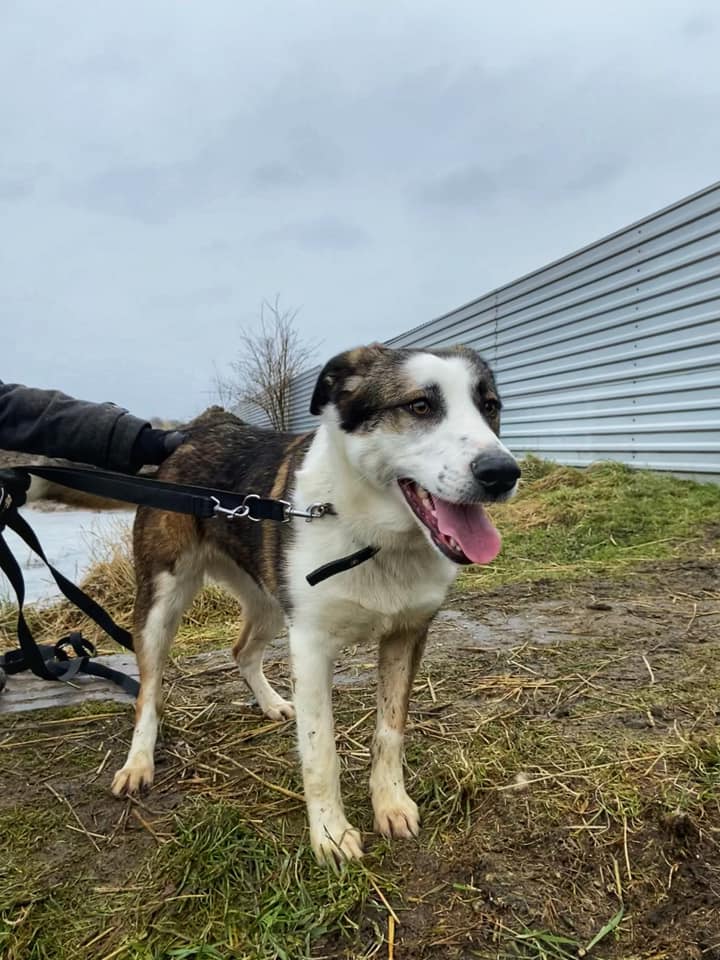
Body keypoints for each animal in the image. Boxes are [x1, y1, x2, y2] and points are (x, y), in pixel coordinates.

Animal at [111, 344, 516, 864]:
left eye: (490, 406)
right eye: (420, 406)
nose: (502, 473)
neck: (375, 538)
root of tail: (199, 430)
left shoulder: (407, 633)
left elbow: (390, 731)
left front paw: (390, 803)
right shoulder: (310, 644)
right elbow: (321, 751)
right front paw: (330, 834)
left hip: (267, 598)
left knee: (242, 651)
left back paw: (270, 704)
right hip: (161, 602)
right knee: (149, 691)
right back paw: (138, 761)